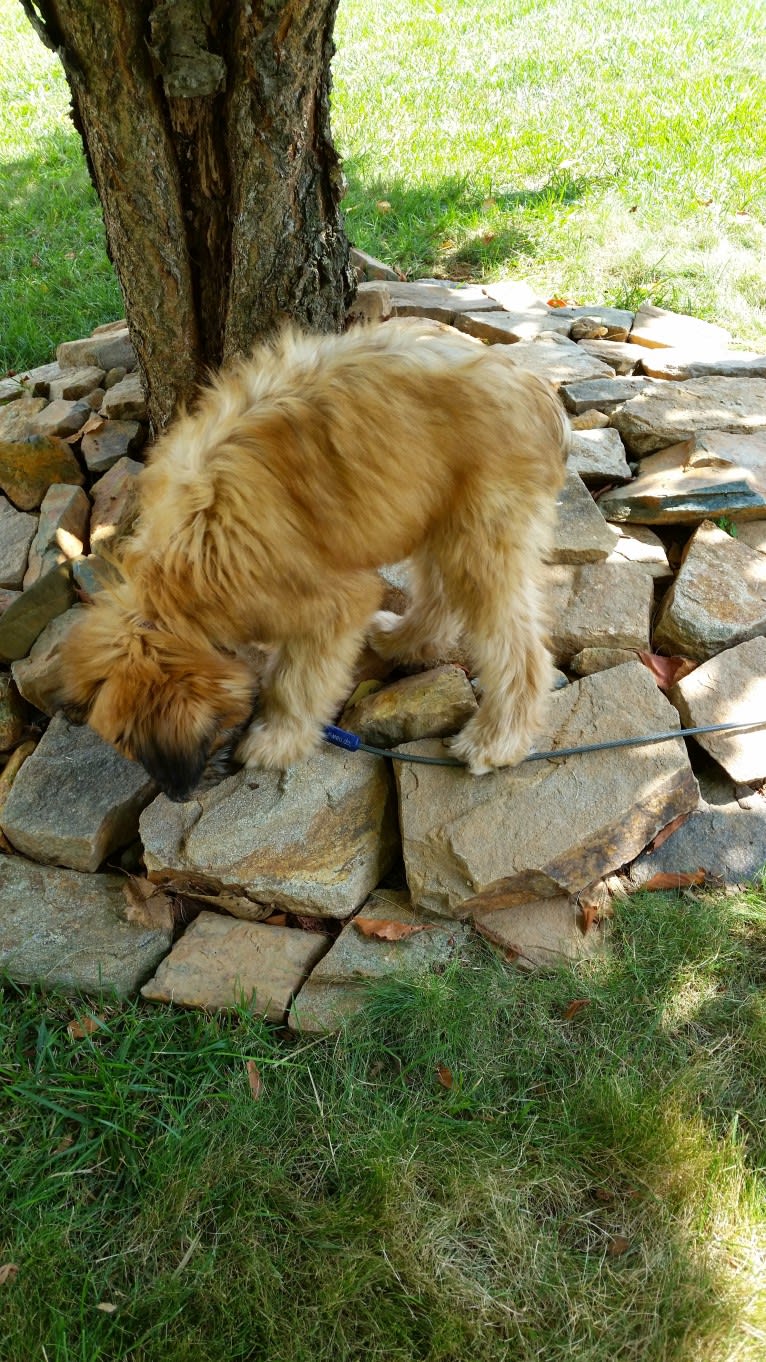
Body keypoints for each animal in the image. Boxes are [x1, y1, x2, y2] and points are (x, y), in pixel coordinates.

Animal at [58, 317, 567, 795]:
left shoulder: (325, 600)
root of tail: (538, 391)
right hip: (436, 515)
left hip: (482, 535)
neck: (179, 577)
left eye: (126, 738)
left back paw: (497, 740)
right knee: (439, 594)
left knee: (516, 645)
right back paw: (404, 640)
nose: (177, 794)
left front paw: (276, 738)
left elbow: (296, 679)